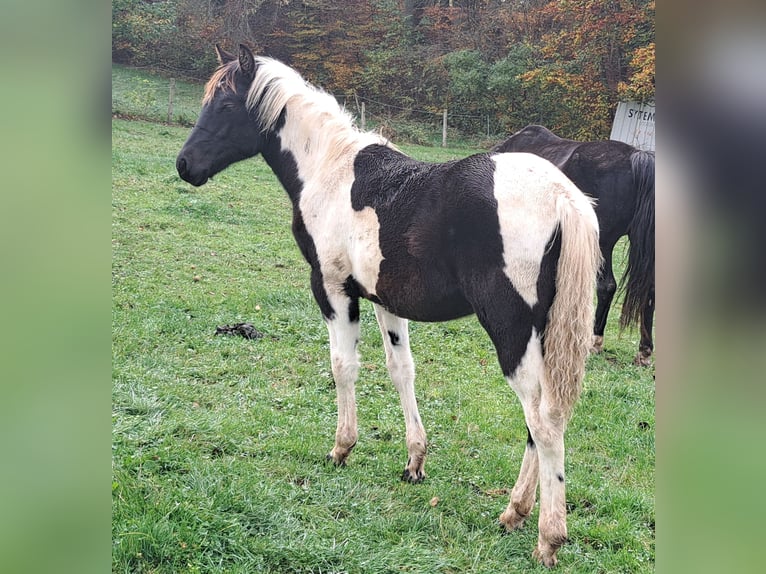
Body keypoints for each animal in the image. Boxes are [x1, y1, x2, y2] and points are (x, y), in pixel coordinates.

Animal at [177, 45, 604, 568]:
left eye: (223, 105)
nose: (185, 165)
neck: (330, 170)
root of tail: (564, 197)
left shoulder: (334, 290)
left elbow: (343, 366)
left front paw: (341, 449)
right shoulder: (384, 299)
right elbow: (401, 371)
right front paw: (414, 461)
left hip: (511, 331)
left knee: (543, 421)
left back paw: (547, 536)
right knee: (539, 419)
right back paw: (514, 513)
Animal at [496, 127, 656, 368]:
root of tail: (637, 156)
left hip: (602, 243)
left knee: (607, 286)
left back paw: (595, 340)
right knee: (650, 293)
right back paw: (644, 350)